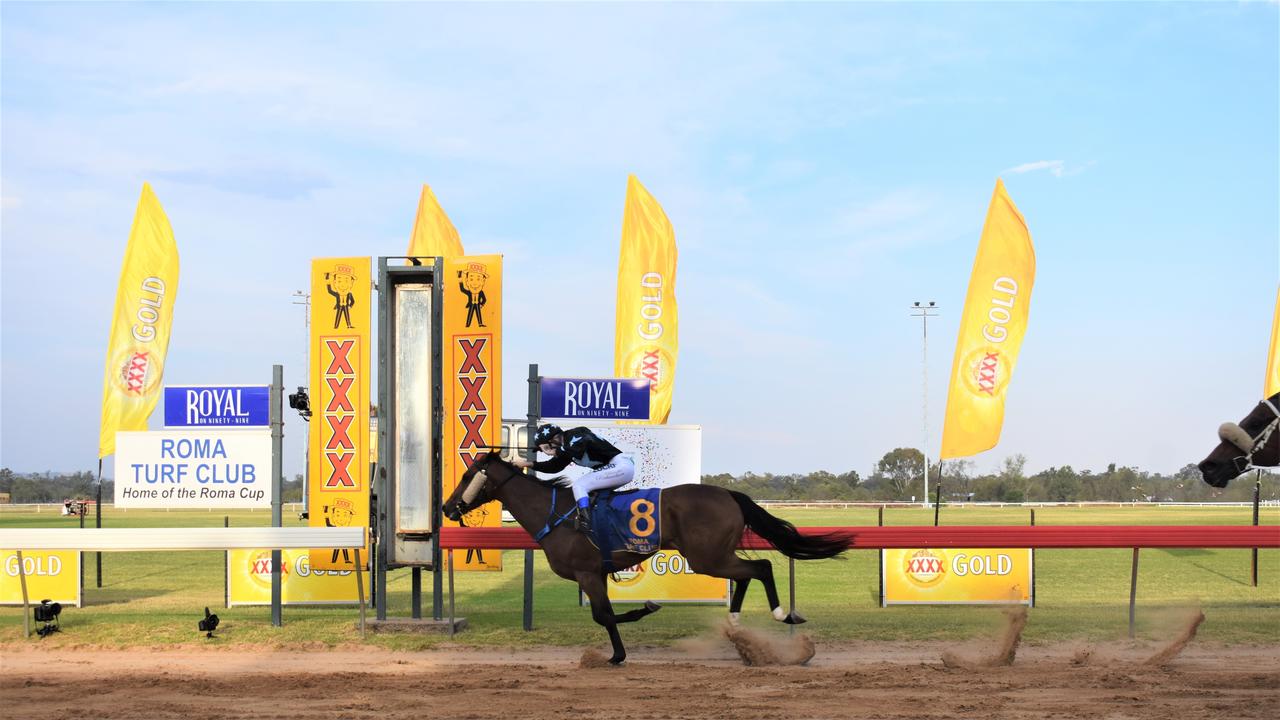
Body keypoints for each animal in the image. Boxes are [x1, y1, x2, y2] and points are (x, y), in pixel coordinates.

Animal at [440, 450, 849, 666]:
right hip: (714, 554)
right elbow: (605, 614)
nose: (447, 507)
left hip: (706, 556)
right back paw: (736, 628)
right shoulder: (596, 575)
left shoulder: (588, 573)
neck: (554, 513)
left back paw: (781, 615)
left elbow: (603, 616)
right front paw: (629, 634)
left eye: (467, 474)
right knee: (748, 572)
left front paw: (619, 649)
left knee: (759, 567)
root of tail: (728, 494)